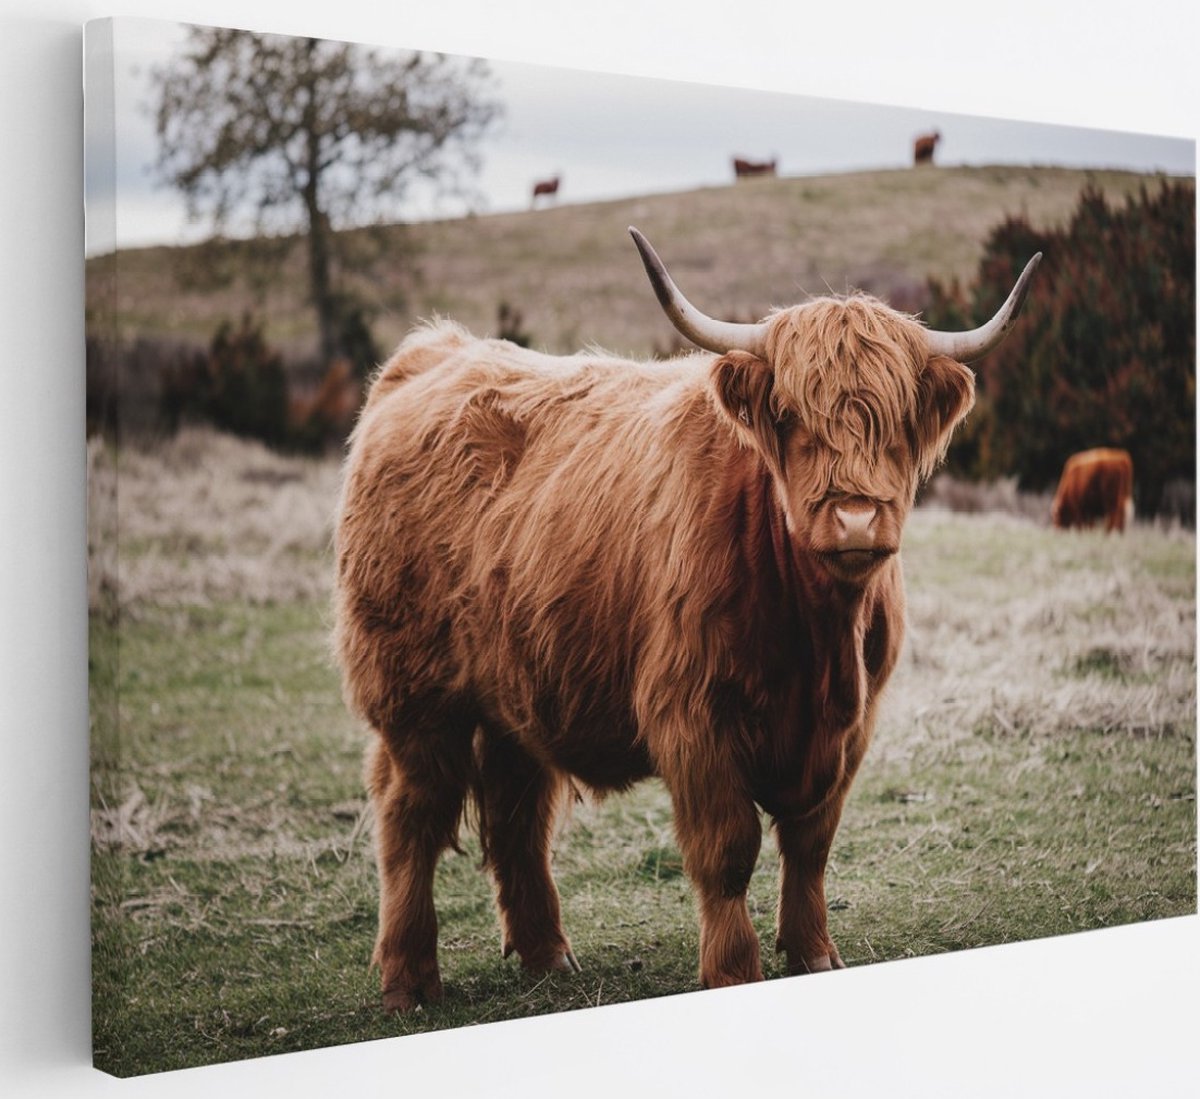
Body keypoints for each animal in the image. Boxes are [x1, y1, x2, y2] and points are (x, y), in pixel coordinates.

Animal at [333, 227, 1040, 1012]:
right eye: (790, 417)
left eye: (895, 421)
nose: (855, 518)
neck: (816, 639)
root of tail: (432, 354)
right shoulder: (695, 716)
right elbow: (727, 851)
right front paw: (733, 969)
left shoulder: (852, 726)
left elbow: (811, 844)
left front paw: (815, 953)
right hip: (415, 698)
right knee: (411, 817)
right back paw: (408, 980)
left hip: (515, 688)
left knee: (517, 814)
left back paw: (548, 955)